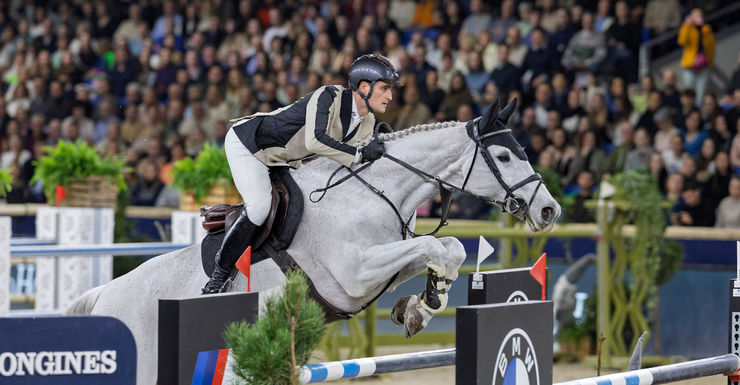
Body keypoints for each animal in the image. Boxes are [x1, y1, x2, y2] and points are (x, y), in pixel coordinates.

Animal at [65, 97, 560, 382]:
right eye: (503, 156)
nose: (549, 211)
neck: (372, 191)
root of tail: (104, 295)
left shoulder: (385, 261)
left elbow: (447, 249)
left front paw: (420, 305)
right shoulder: (354, 275)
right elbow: (434, 246)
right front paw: (422, 306)